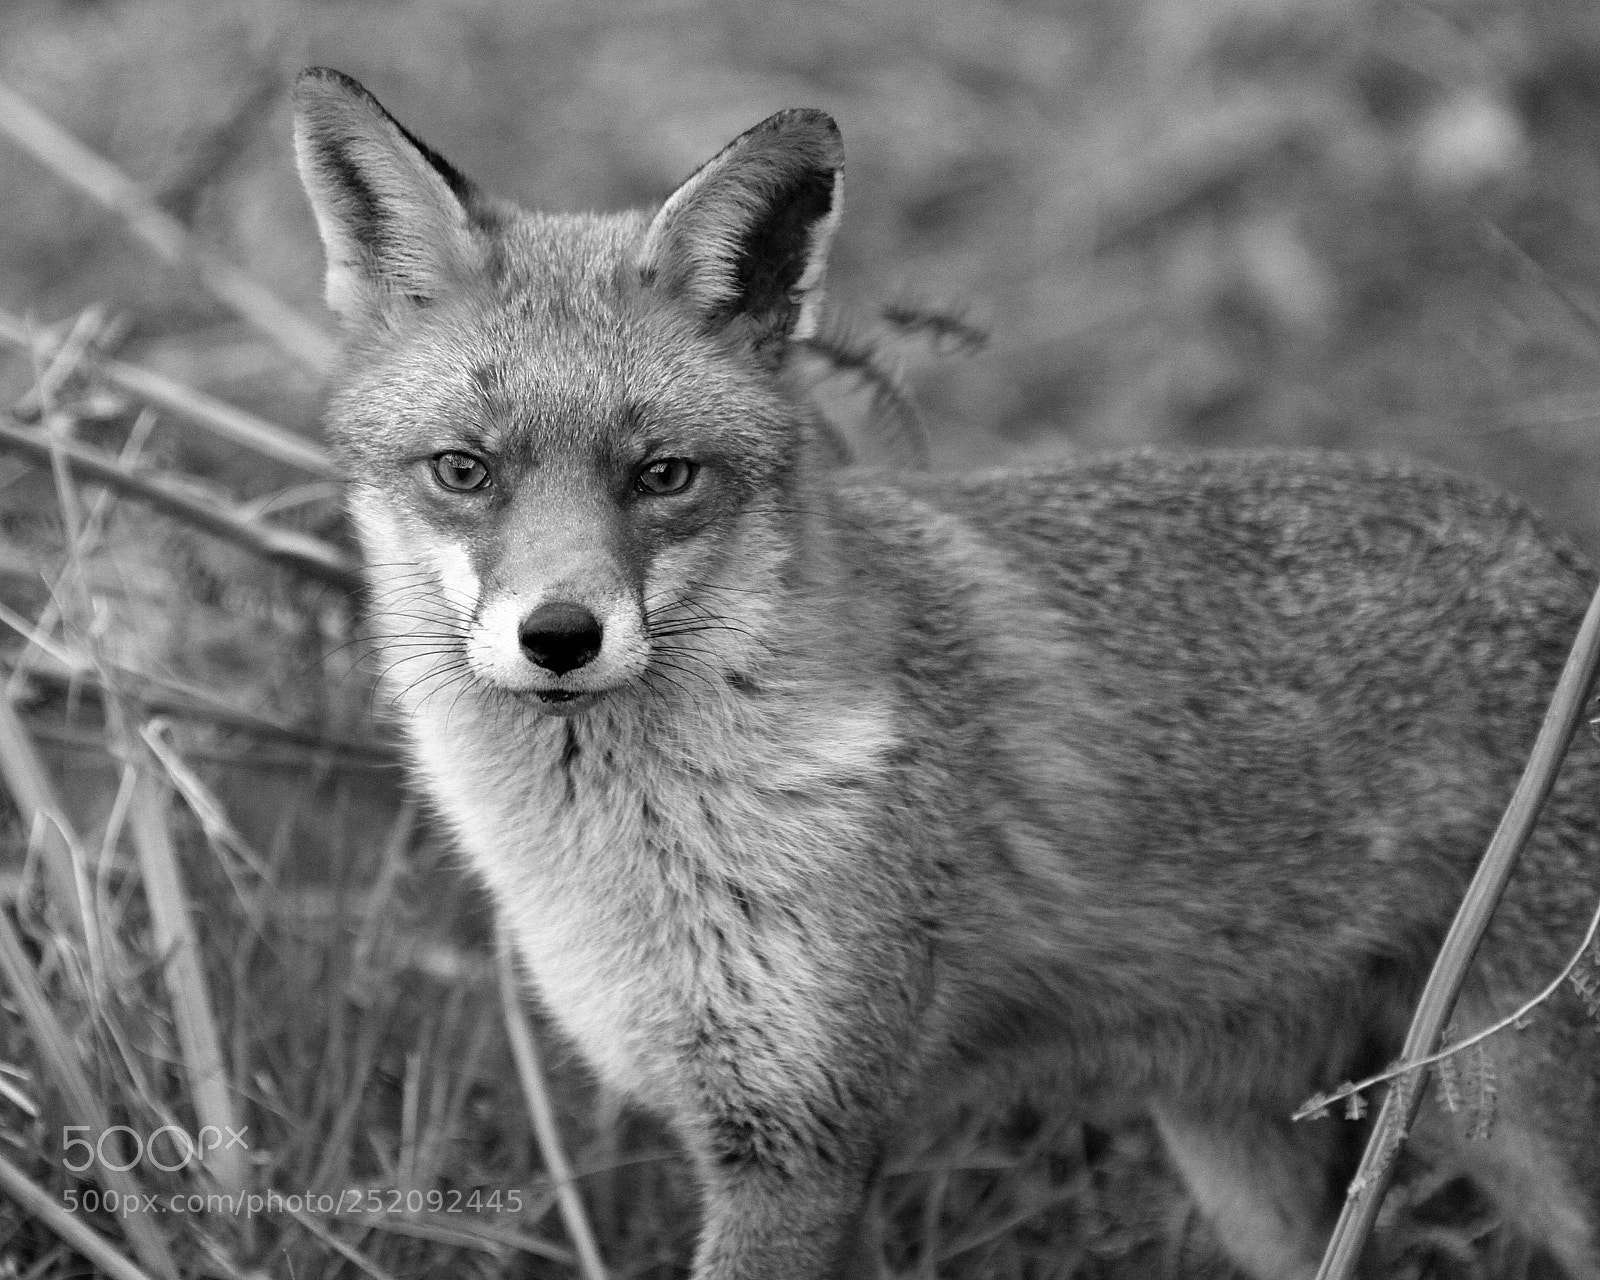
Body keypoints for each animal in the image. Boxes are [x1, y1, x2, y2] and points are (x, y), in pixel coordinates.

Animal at [291, 67, 1600, 1279]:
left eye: (662, 475)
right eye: (463, 470)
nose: (560, 633)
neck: (630, 857)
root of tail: (1564, 555)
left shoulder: (805, 1136)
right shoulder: (783, 1133)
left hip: (1523, 1125)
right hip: (1248, 1159)